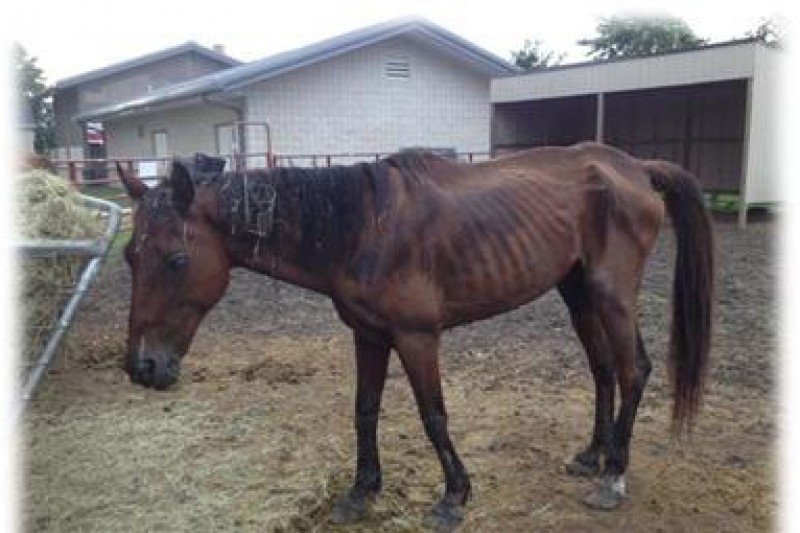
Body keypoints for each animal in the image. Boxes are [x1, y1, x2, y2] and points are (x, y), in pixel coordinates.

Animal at [115, 141, 713, 529]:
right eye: (129, 256)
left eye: (176, 259)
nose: (142, 368)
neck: (363, 226)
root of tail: (634, 168)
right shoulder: (369, 335)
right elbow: (365, 410)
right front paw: (361, 492)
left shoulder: (417, 336)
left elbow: (433, 416)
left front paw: (454, 497)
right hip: (577, 290)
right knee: (603, 368)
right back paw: (592, 455)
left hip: (611, 294)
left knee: (634, 369)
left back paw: (612, 477)